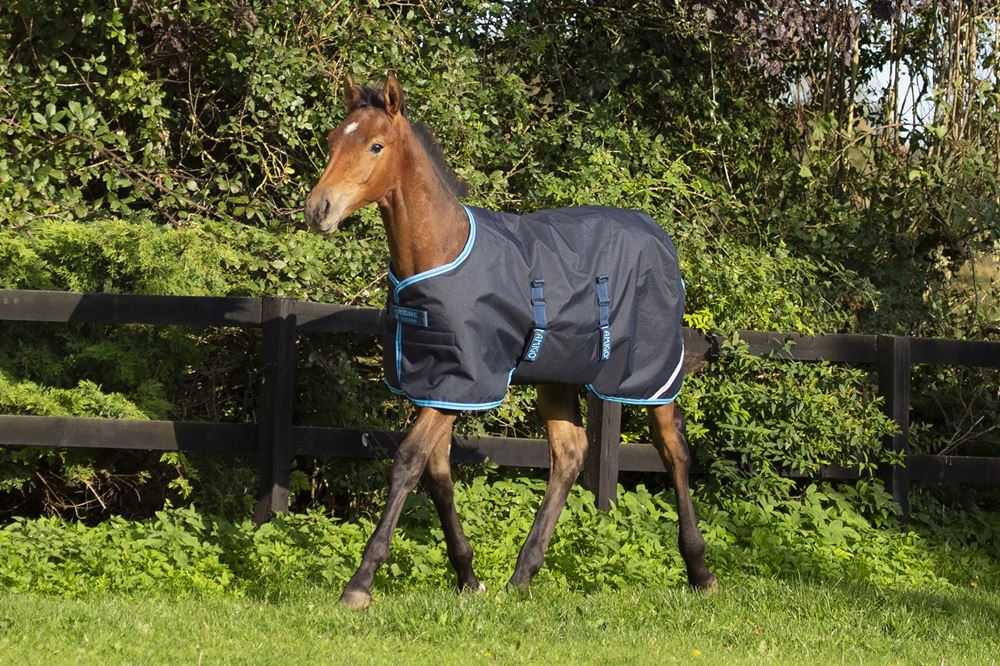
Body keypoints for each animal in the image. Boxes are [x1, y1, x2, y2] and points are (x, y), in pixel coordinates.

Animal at [305, 74, 716, 609]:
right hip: (557, 376)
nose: (319, 209)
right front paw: (468, 576)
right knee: (569, 453)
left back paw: (700, 571)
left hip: (650, 373)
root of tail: (660, 237)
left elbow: (408, 462)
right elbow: (437, 471)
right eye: (333, 140)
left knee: (673, 450)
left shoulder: (464, 381)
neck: (442, 251)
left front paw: (359, 584)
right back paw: (523, 573)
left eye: (376, 145)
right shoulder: (438, 383)